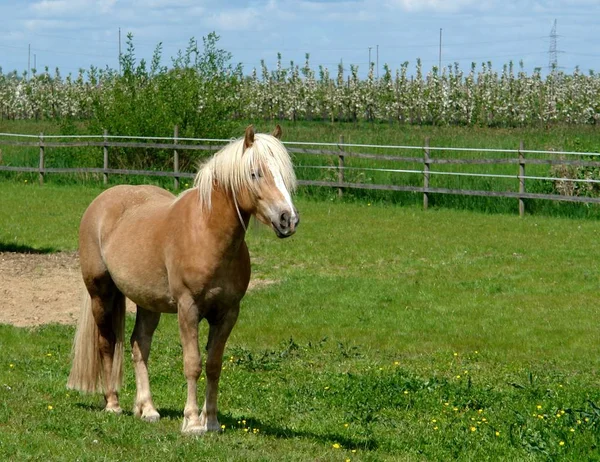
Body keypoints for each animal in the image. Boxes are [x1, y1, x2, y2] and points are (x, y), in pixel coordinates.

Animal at [67, 123, 298, 434]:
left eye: (284, 173)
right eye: (255, 173)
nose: (288, 219)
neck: (207, 233)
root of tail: (100, 202)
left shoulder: (227, 313)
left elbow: (213, 365)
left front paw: (211, 421)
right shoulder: (188, 309)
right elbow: (192, 363)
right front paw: (192, 422)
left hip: (148, 303)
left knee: (139, 345)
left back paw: (147, 409)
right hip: (101, 294)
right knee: (107, 343)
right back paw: (113, 403)